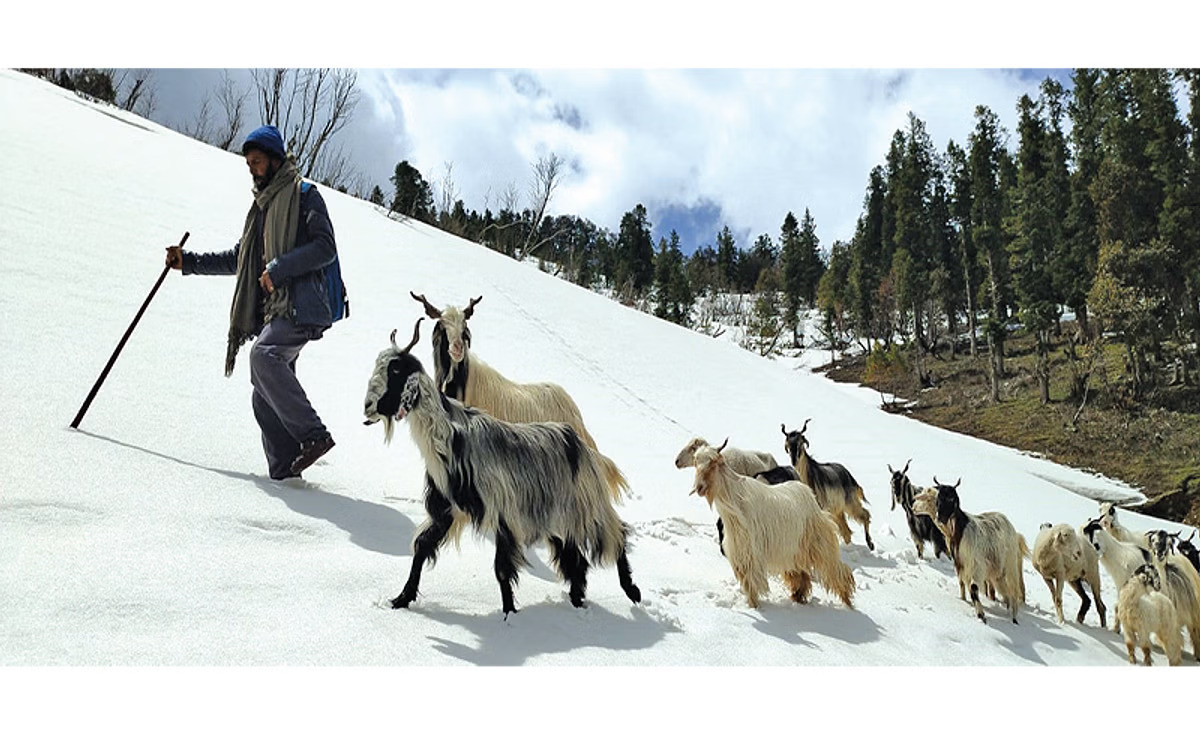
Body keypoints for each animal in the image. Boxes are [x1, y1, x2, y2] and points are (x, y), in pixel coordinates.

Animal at [360, 319, 643, 619]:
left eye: (396, 370)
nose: (367, 407)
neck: (450, 438)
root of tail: (583, 447)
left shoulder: (504, 514)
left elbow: (502, 570)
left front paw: (508, 617)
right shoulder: (449, 509)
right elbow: (422, 548)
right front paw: (401, 599)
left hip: (588, 509)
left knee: (616, 536)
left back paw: (632, 592)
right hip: (557, 521)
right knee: (577, 563)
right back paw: (578, 602)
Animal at [686, 439, 854, 609]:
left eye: (712, 463)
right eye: (696, 463)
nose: (699, 488)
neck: (736, 503)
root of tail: (809, 494)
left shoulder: (751, 552)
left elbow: (752, 580)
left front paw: (754, 606)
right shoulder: (739, 552)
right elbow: (747, 581)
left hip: (819, 544)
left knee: (835, 569)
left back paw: (848, 603)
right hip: (793, 551)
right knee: (801, 576)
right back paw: (798, 598)